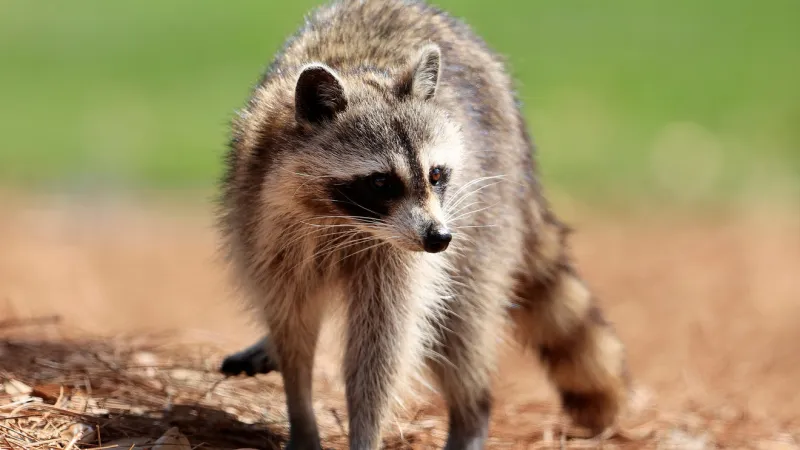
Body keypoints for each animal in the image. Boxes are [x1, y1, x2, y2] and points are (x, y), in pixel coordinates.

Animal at [217, 0, 630, 448]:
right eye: (381, 182)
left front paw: (365, 430)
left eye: (435, 175)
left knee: (461, 325)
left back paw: (472, 413)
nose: (439, 238)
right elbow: (291, 325)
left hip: (486, 216)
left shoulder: (399, 256)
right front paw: (300, 410)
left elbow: (381, 350)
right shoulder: (267, 224)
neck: (345, 220)